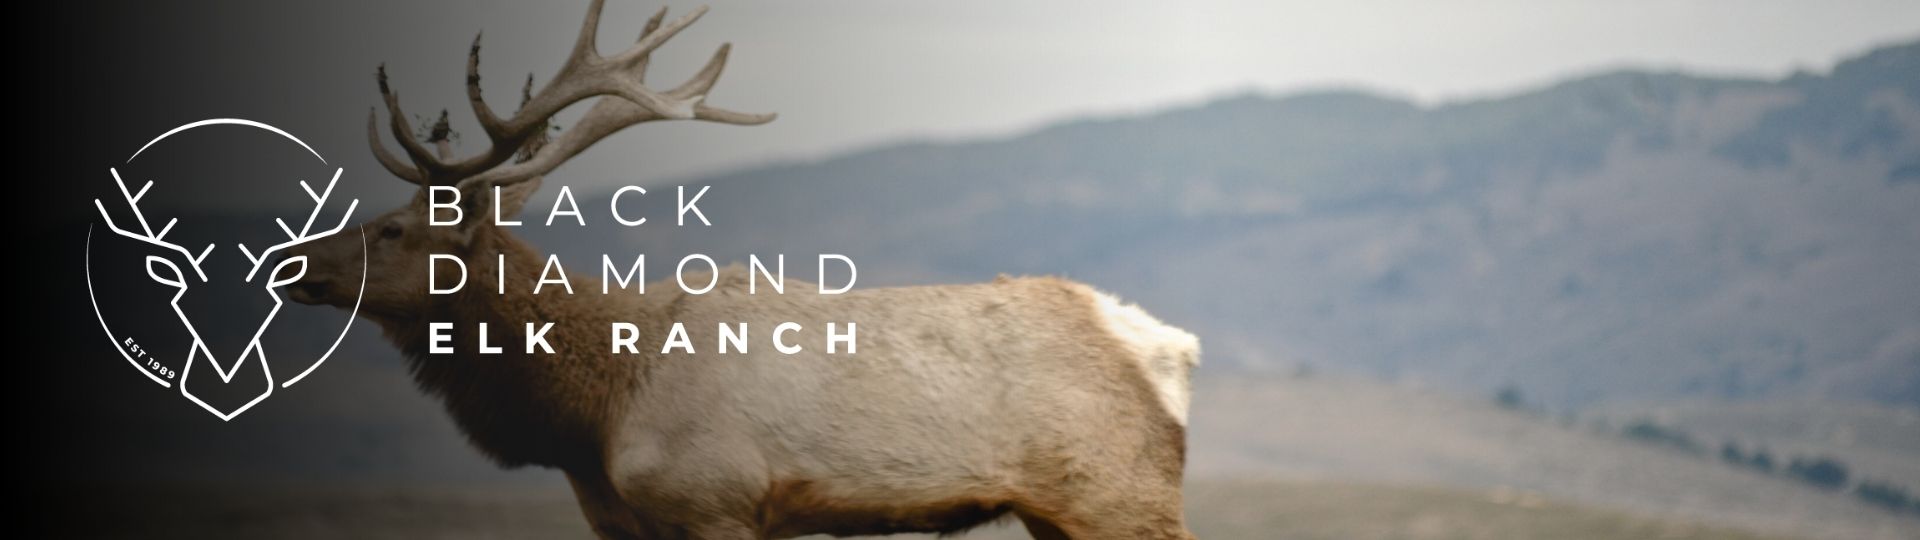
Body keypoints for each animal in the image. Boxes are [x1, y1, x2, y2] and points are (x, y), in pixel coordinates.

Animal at [282, 1, 1199, 538]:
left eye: (393, 228)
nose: (295, 264)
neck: (590, 416)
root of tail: (1169, 347)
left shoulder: (715, 499)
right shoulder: (622, 521)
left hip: (1120, 495)